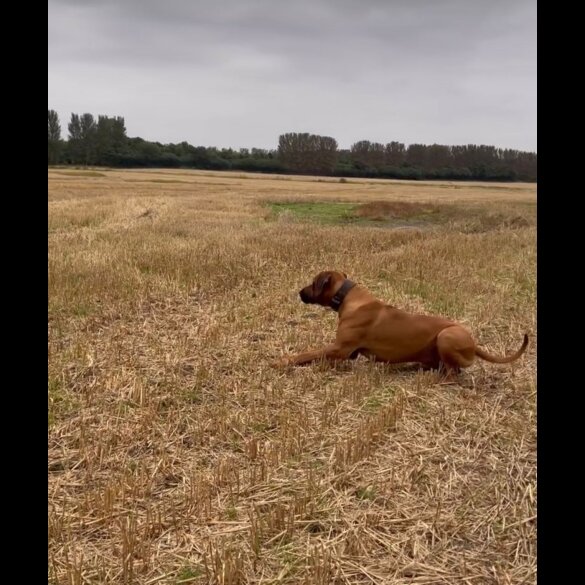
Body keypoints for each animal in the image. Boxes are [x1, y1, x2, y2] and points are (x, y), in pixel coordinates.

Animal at [276, 270, 528, 378]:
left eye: (313, 282)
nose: (299, 293)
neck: (347, 297)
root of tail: (474, 344)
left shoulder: (340, 349)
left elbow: (307, 354)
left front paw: (284, 361)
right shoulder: (347, 353)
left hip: (446, 336)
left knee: (453, 372)